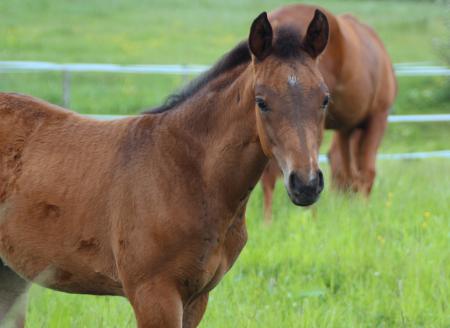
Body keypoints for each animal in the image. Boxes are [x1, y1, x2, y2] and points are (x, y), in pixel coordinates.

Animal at [0, 10, 330, 328]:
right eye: (261, 101)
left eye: (325, 99)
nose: (305, 184)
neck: (187, 173)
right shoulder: (153, 294)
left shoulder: (197, 298)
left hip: (12, 274)